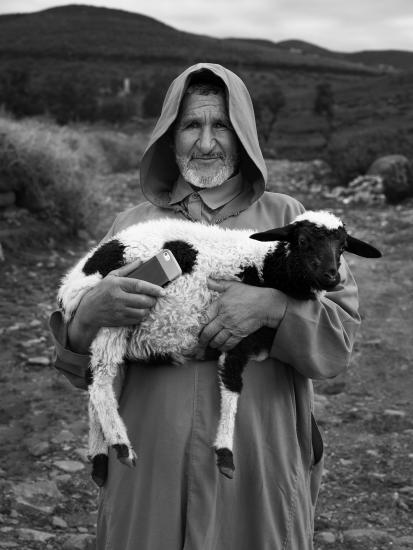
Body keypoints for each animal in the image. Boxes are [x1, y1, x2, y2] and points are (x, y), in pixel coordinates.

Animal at [57, 211, 380, 488]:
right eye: (302, 241)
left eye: (343, 247)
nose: (332, 276)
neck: (267, 266)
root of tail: (72, 281)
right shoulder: (238, 336)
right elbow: (232, 387)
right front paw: (225, 454)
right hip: (115, 312)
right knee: (99, 382)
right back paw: (121, 447)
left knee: (93, 381)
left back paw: (100, 461)